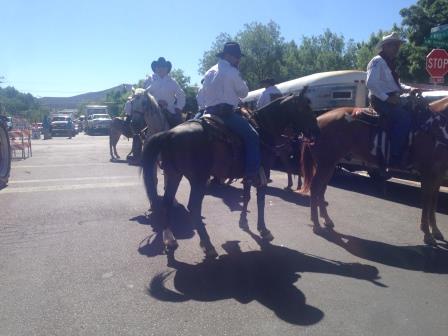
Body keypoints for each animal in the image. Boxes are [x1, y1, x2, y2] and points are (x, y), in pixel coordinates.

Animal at [140, 89, 318, 258]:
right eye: (306, 108)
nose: (316, 131)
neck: (262, 128)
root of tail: (169, 134)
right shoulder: (263, 171)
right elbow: (260, 200)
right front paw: (263, 229)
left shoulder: (248, 174)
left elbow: (246, 197)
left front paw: (243, 222)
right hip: (198, 180)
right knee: (194, 207)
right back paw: (208, 245)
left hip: (174, 175)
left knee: (167, 203)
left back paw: (170, 240)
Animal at [300, 93, 448, 245]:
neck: (435, 127)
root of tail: (317, 120)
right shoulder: (428, 172)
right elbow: (427, 200)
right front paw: (427, 234)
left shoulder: (439, 172)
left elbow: (434, 200)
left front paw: (436, 231)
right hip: (325, 164)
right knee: (315, 187)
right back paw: (316, 224)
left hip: (329, 164)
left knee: (322, 189)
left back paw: (327, 220)